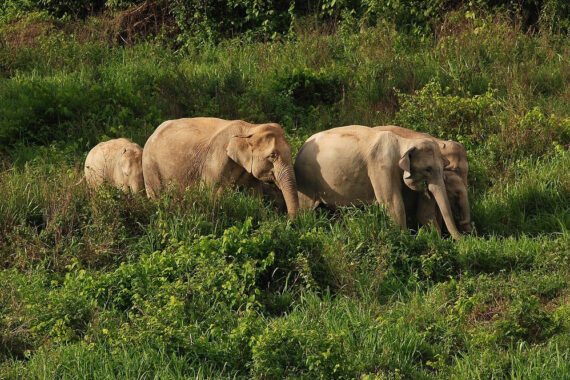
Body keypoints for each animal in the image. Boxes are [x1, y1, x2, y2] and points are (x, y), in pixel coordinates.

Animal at [141, 116, 298, 217]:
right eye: (272, 156)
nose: (287, 221)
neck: (249, 128)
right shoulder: (216, 160)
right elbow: (210, 195)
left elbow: (254, 196)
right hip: (150, 167)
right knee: (157, 197)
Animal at [292, 126, 462, 239]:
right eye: (428, 169)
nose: (464, 239)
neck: (404, 142)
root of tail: (302, 146)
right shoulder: (381, 166)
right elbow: (392, 203)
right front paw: (404, 240)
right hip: (305, 179)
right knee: (306, 207)